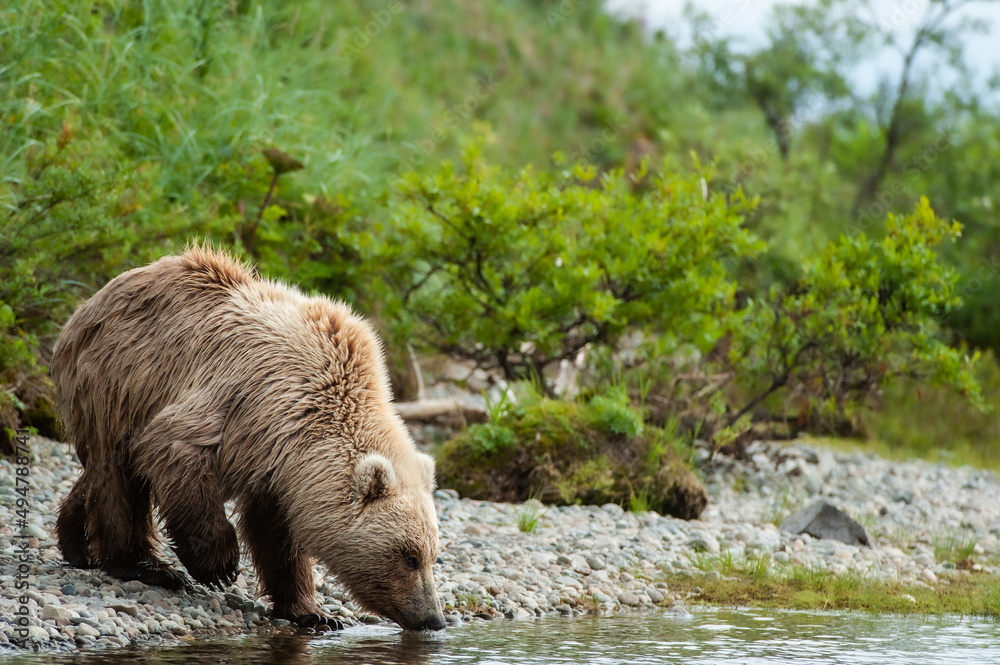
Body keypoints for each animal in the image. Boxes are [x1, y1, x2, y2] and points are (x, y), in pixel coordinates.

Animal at [48, 246, 448, 632]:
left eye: (432, 555)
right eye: (409, 557)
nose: (434, 618)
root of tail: (88, 303)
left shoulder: (278, 464)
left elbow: (277, 537)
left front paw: (313, 612)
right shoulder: (248, 403)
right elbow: (176, 447)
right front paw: (220, 564)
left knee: (100, 475)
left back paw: (76, 544)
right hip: (118, 380)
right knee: (117, 475)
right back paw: (144, 566)